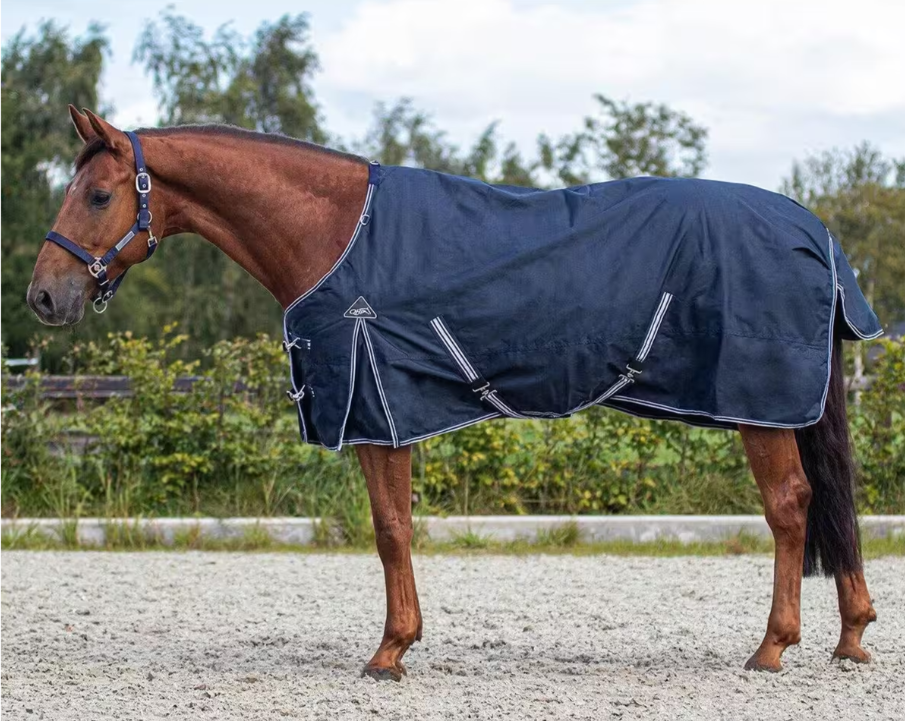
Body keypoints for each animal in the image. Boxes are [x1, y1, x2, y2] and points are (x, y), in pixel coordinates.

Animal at [27, 106, 878, 680]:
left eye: (98, 195)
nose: (43, 296)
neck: (334, 231)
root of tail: (814, 231)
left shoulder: (376, 407)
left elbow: (389, 529)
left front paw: (389, 650)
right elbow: (395, 527)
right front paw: (399, 641)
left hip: (759, 404)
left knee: (790, 505)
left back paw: (772, 646)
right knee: (828, 502)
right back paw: (850, 634)